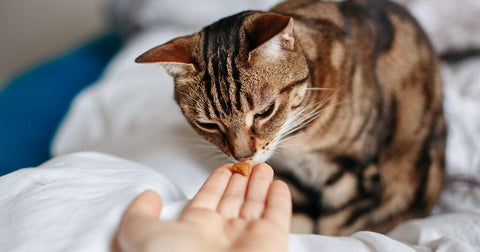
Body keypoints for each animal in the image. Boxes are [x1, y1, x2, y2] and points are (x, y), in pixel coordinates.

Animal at [136, 0, 446, 236]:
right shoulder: (292, 181)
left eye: (264, 112)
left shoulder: (353, 178)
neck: (298, 141)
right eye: (208, 124)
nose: (243, 156)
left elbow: (334, 231)